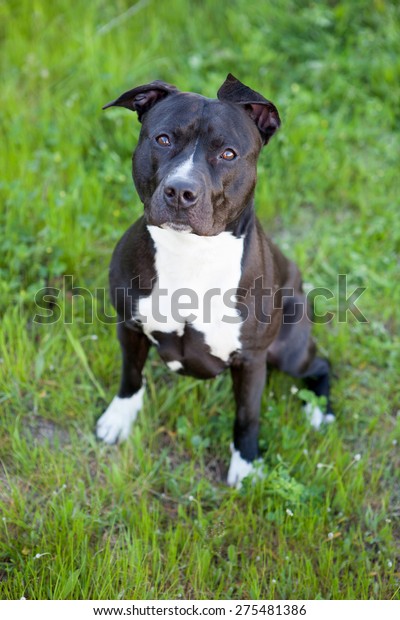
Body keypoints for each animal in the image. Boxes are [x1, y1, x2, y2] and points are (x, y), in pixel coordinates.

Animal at [97, 74, 334, 490]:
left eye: (228, 154)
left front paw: (247, 465)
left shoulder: (252, 359)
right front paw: (119, 418)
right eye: (163, 139)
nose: (180, 191)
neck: (190, 252)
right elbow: (130, 376)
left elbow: (247, 415)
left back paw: (320, 412)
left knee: (322, 364)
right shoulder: (129, 326)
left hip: (288, 350)